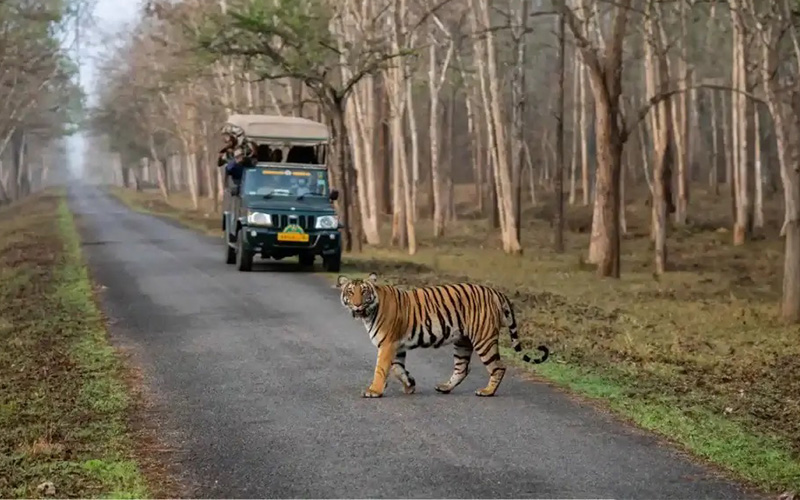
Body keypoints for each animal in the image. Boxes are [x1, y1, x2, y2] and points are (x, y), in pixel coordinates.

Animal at [334, 274, 548, 398]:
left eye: (364, 292)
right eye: (351, 292)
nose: (357, 304)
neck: (369, 313)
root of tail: (496, 292)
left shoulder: (387, 344)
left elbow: (380, 369)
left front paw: (374, 391)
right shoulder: (396, 346)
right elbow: (397, 368)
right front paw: (410, 384)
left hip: (483, 339)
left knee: (498, 367)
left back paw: (487, 391)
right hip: (462, 342)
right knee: (462, 369)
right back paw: (445, 387)